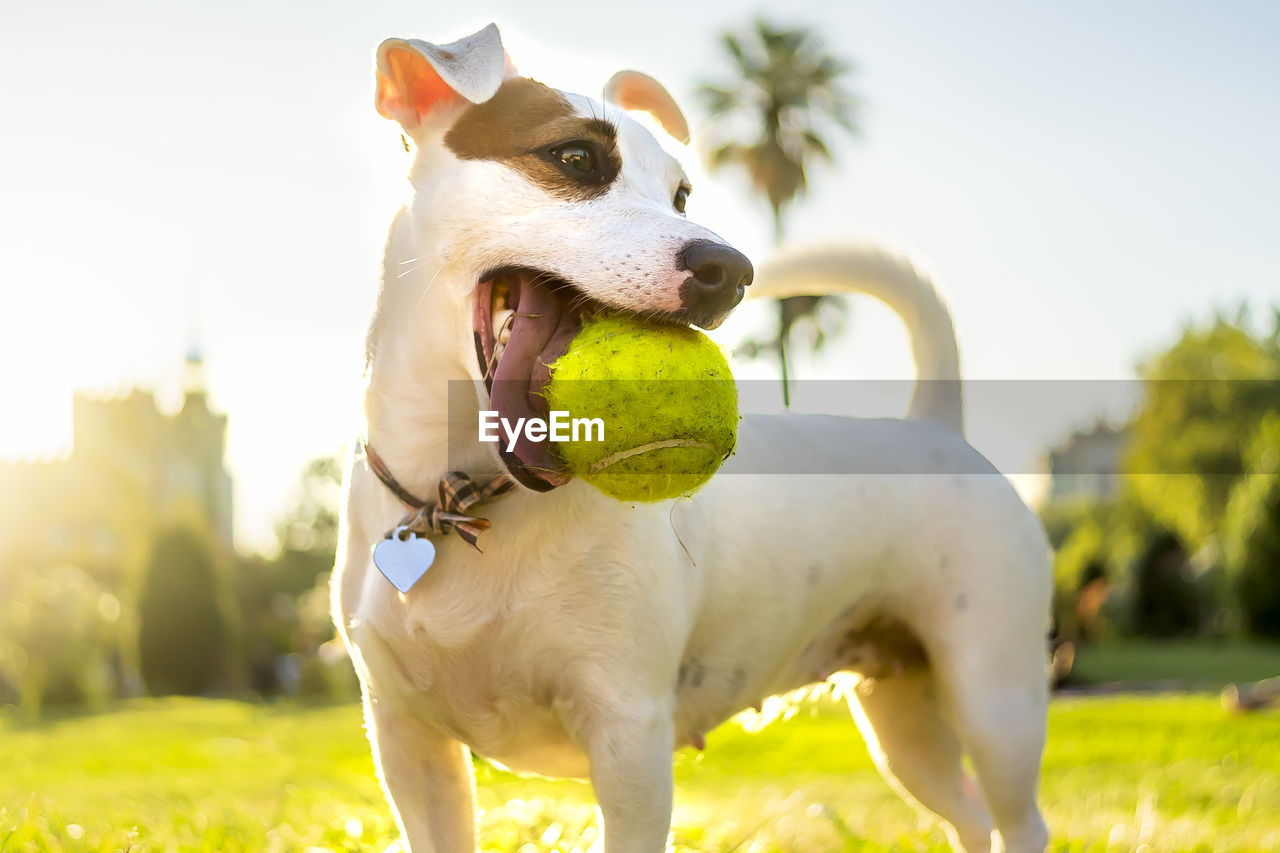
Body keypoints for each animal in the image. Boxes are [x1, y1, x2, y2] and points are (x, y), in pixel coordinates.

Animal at [335, 23, 1054, 850]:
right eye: (575, 157)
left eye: (681, 194)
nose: (731, 268)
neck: (457, 496)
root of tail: (935, 425)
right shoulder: (409, 747)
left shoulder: (629, 740)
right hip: (902, 718)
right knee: (969, 813)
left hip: (994, 693)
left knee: (1019, 816)